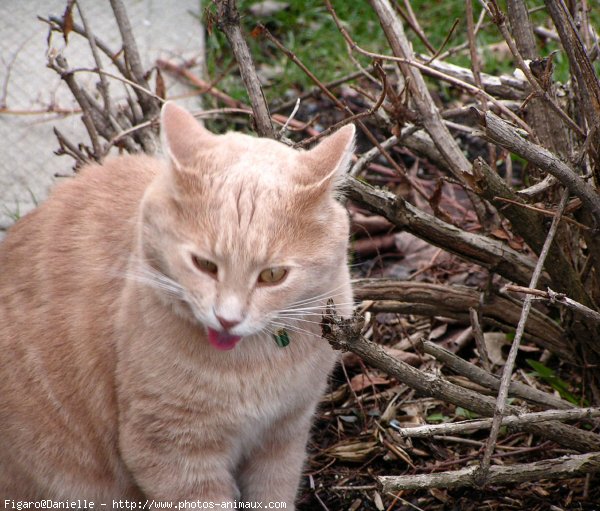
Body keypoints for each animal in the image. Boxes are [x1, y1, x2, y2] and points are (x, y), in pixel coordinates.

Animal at [0, 104, 354, 508]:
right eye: (205, 265)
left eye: (273, 275)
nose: (227, 319)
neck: (253, 368)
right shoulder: (171, 453)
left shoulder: (284, 436)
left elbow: (273, 494)